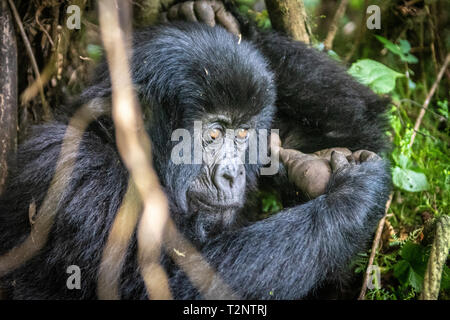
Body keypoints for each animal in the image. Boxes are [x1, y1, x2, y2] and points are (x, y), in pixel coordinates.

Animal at [0, 8, 390, 298]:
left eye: (243, 133)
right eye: (214, 133)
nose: (232, 175)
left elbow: (365, 129)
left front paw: (231, 22)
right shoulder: (81, 177)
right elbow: (167, 286)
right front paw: (356, 194)